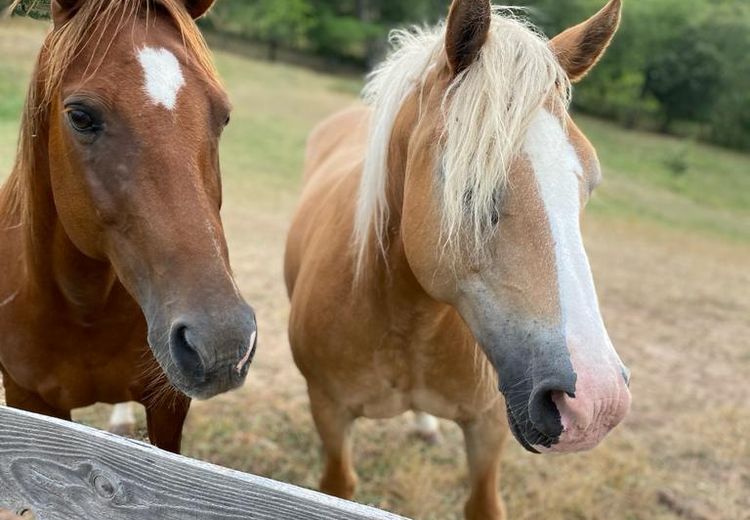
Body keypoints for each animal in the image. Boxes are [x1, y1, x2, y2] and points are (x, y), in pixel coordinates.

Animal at [0, 0, 258, 452]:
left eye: (223, 116)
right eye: (80, 116)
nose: (224, 343)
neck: (82, 312)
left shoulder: (168, 404)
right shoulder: (26, 400)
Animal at [288, 0, 636, 516]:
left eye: (588, 184)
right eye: (468, 188)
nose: (596, 404)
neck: (410, 323)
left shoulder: (488, 426)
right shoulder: (328, 412)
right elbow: (337, 484)